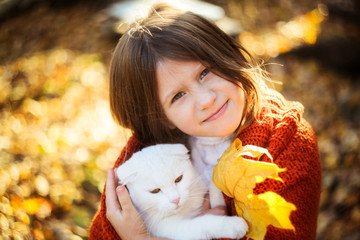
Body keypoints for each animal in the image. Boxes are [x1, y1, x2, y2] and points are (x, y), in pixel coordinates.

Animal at [115, 143, 248, 239]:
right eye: (155, 191)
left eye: (178, 179)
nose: (176, 199)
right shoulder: (171, 228)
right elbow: (203, 223)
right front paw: (231, 225)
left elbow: (213, 186)